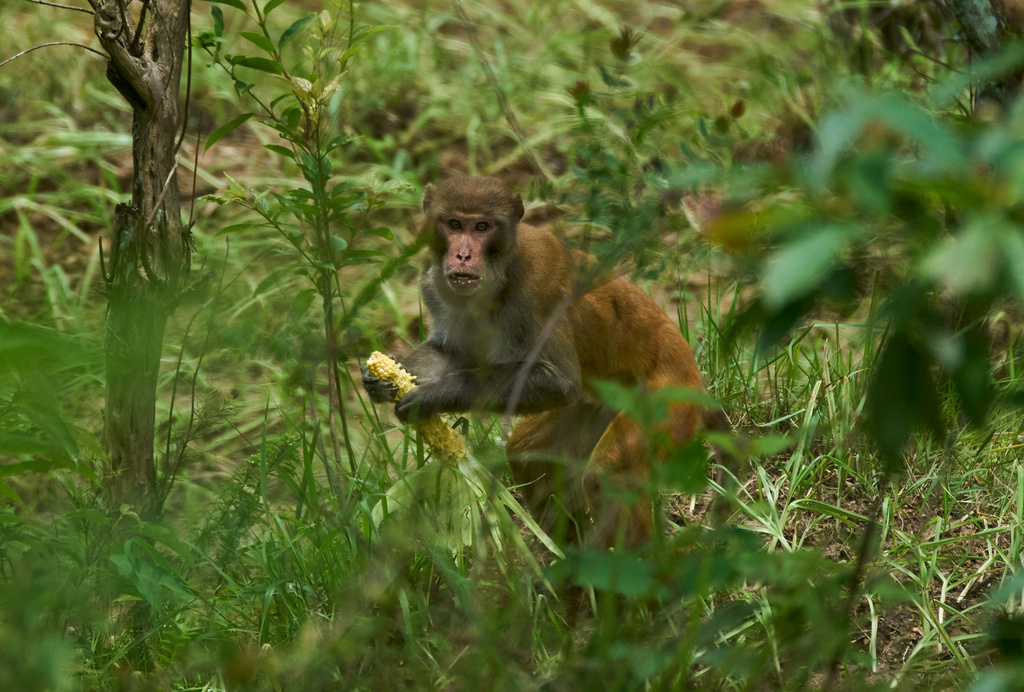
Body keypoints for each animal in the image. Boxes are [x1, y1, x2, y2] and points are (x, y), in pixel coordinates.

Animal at [363, 176, 714, 548]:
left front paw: (434, 396)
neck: (500, 271)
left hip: (669, 403)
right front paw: (383, 380)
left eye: (482, 227)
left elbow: (558, 382)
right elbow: (452, 353)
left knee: (606, 476)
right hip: (597, 407)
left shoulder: (535, 291)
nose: (463, 254)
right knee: (529, 453)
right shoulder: (433, 284)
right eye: (454, 224)